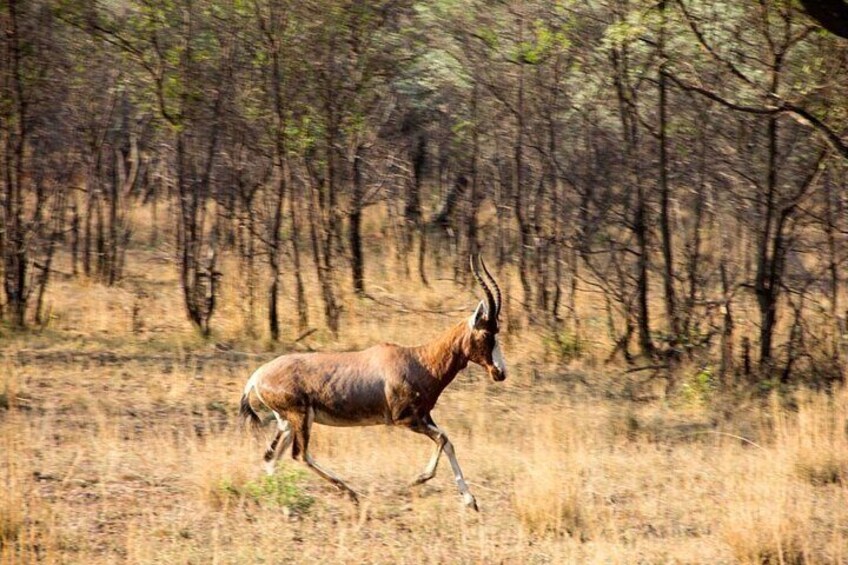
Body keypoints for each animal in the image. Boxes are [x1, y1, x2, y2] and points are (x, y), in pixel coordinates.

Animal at [238, 253, 504, 508]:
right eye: (487, 333)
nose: (500, 372)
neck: (418, 359)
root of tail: (257, 376)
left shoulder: (425, 417)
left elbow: (448, 442)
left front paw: (471, 501)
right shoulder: (405, 420)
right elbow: (443, 439)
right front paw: (417, 480)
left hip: (286, 422)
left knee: (271, 457)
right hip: (301, 418)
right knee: (299, 455)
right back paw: (351, 493)